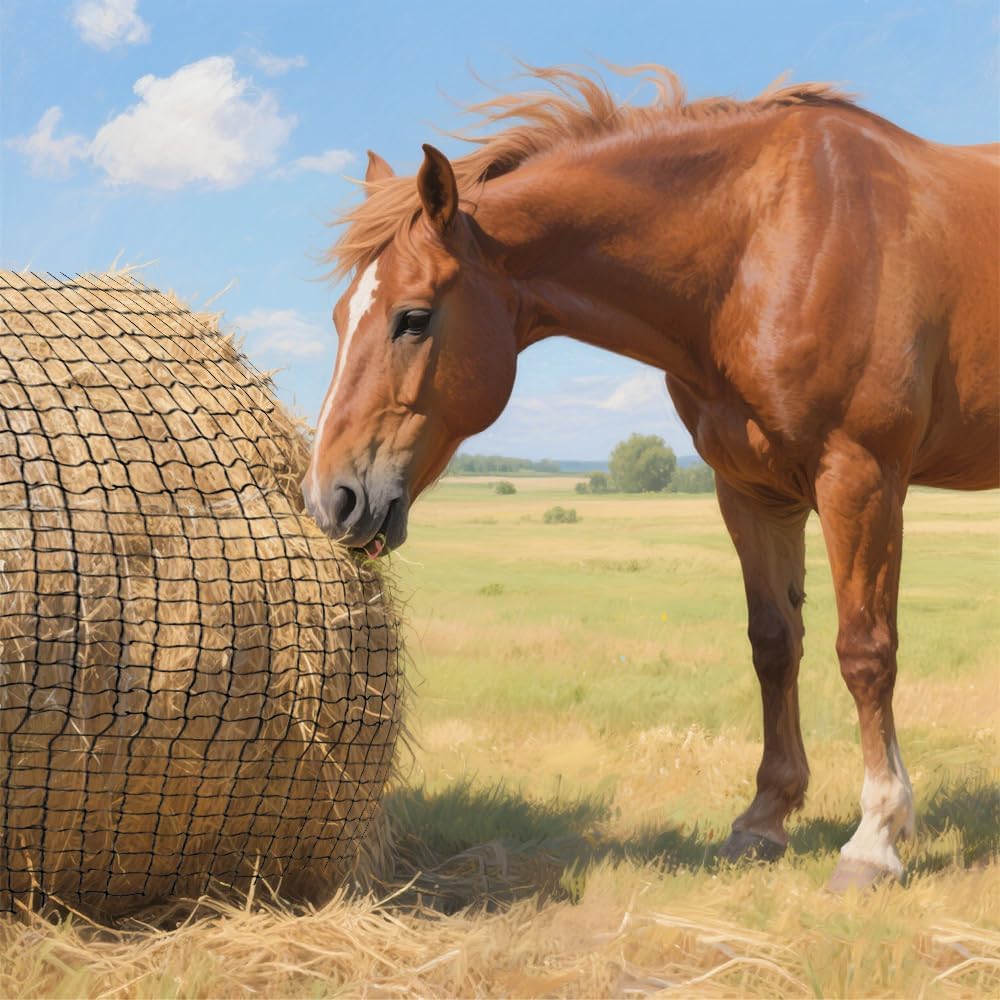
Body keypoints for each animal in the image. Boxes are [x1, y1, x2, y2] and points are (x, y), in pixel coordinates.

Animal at [302, 65, 999, 891]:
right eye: (340, 318)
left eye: (412, 317)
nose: (331, 498)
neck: (770, 241)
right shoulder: (753, 493)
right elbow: (774, 644)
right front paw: (764, 819)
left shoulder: (860, 476)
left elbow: (865, 651)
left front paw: (876, 838)